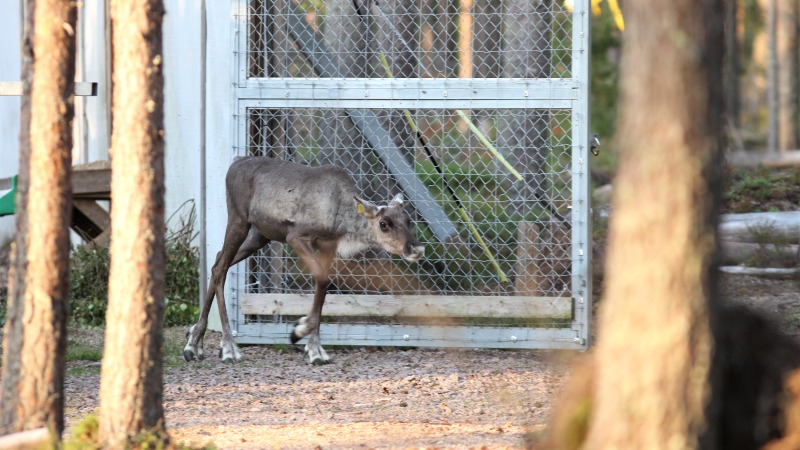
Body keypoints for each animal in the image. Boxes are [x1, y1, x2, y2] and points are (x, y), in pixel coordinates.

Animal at [183, 156, 424, 364]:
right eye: (384, 224)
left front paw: (315, 349)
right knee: (221, 268)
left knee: (217, 262)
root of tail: (235, 162)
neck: (341, 219)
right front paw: (300, 330)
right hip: (238, 219)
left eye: (407, 219)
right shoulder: (296, 236)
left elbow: (322, 287)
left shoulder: (328, 246)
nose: (417, 248)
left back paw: (194, 344)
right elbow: (322, 279)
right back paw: (228, 348)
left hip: (260, 235)